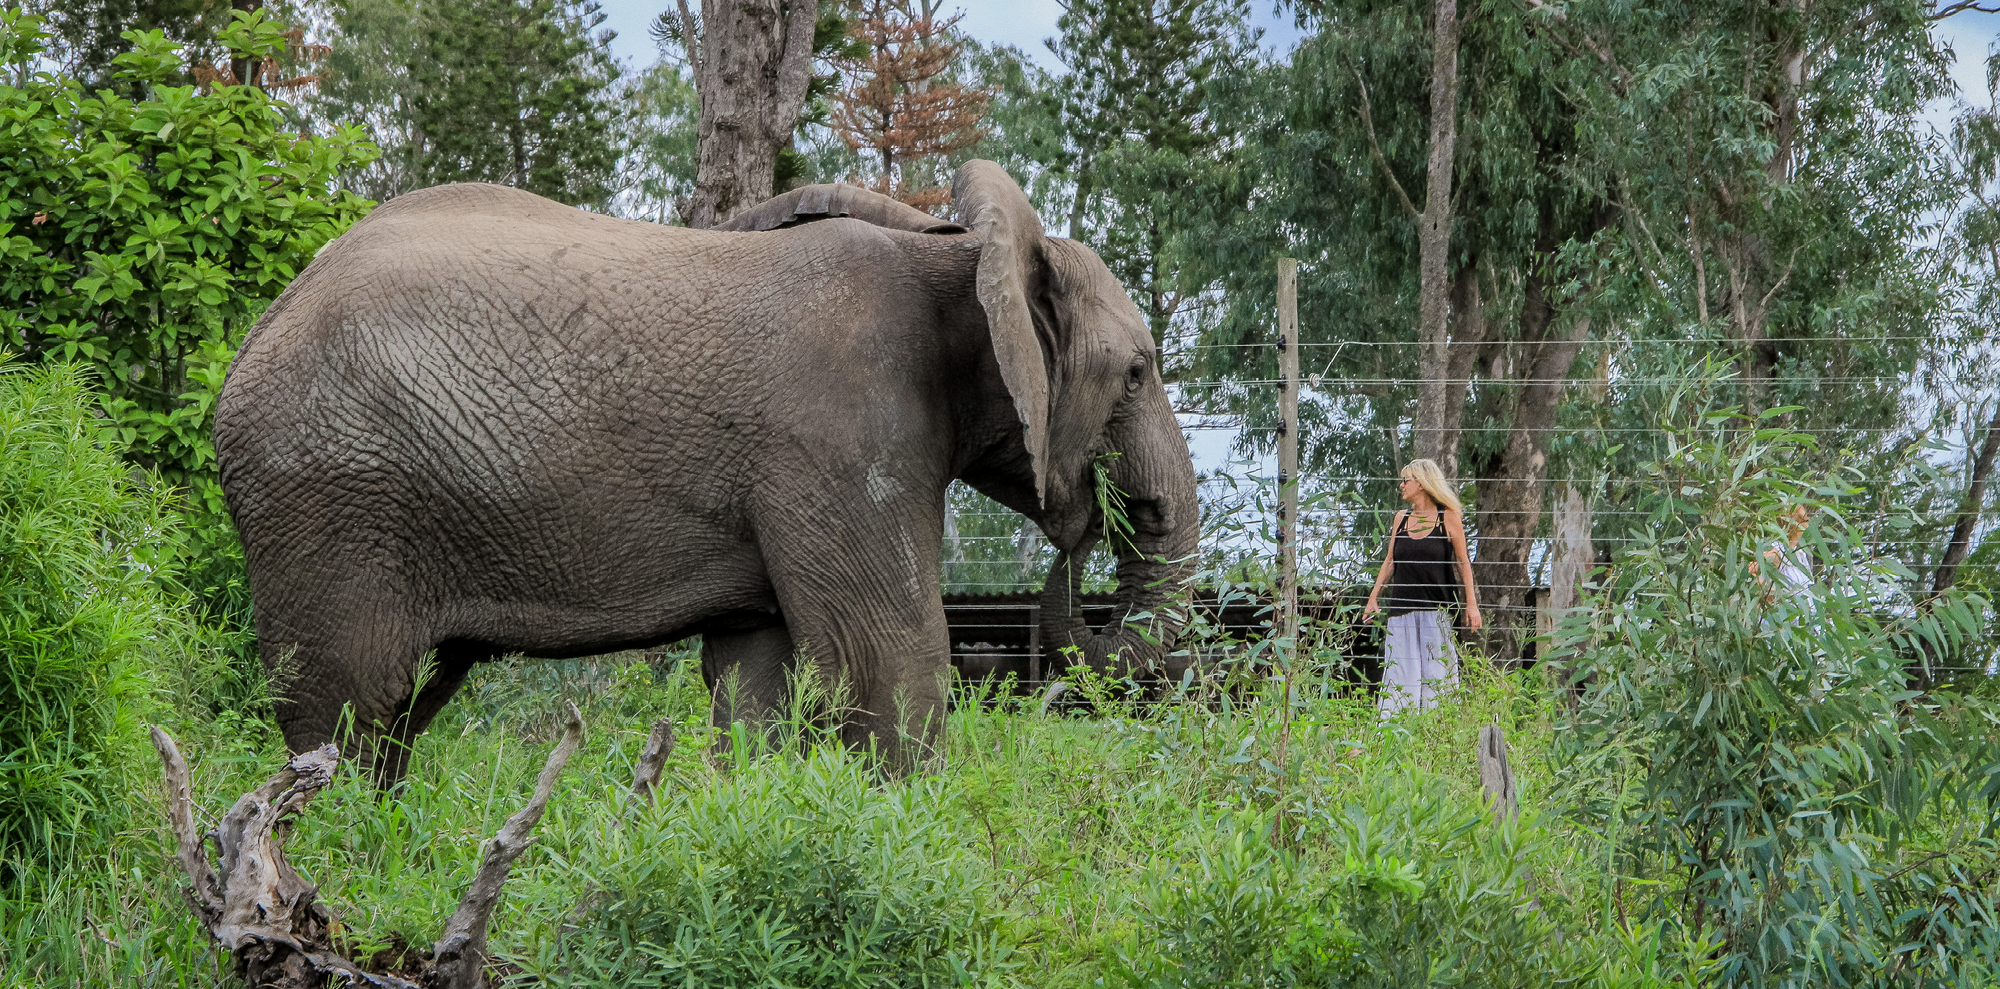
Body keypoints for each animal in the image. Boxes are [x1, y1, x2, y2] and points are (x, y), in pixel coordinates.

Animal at [215, 160, 1200, 780]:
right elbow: (890, 657)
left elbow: (754, 676)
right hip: (331, 497)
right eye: (1138, 372)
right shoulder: (840, 437)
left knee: (401, 712)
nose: (1086, 531)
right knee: (346, 710)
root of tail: (256, 332)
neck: (954, 249)